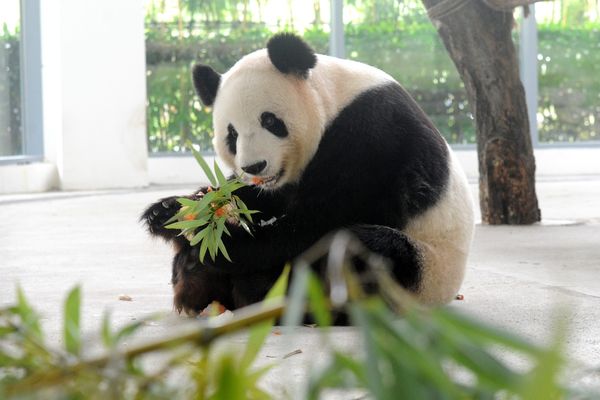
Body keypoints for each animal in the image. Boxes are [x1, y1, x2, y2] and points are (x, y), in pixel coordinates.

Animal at [143, 32, 476, 316]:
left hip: (425, 272)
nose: (254, 166)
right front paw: (171, 212)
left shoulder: (375, 137)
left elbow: (317, 222)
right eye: (232, 135)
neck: (334, 97)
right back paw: (196, 277)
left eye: (269, 121)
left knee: (362, 249)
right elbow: (261, 199)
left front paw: (216, 240)